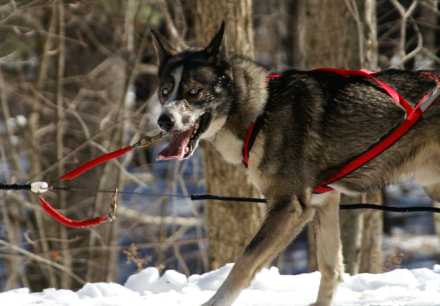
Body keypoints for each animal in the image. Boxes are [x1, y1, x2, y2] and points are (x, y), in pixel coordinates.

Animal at [150, 22, 440, 306]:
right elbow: (330, 268)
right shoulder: (325, 202)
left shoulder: (288, 207)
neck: (261, 113)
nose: (163, 120)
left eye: (193, 92)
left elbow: (244, 263)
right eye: (164, 92)